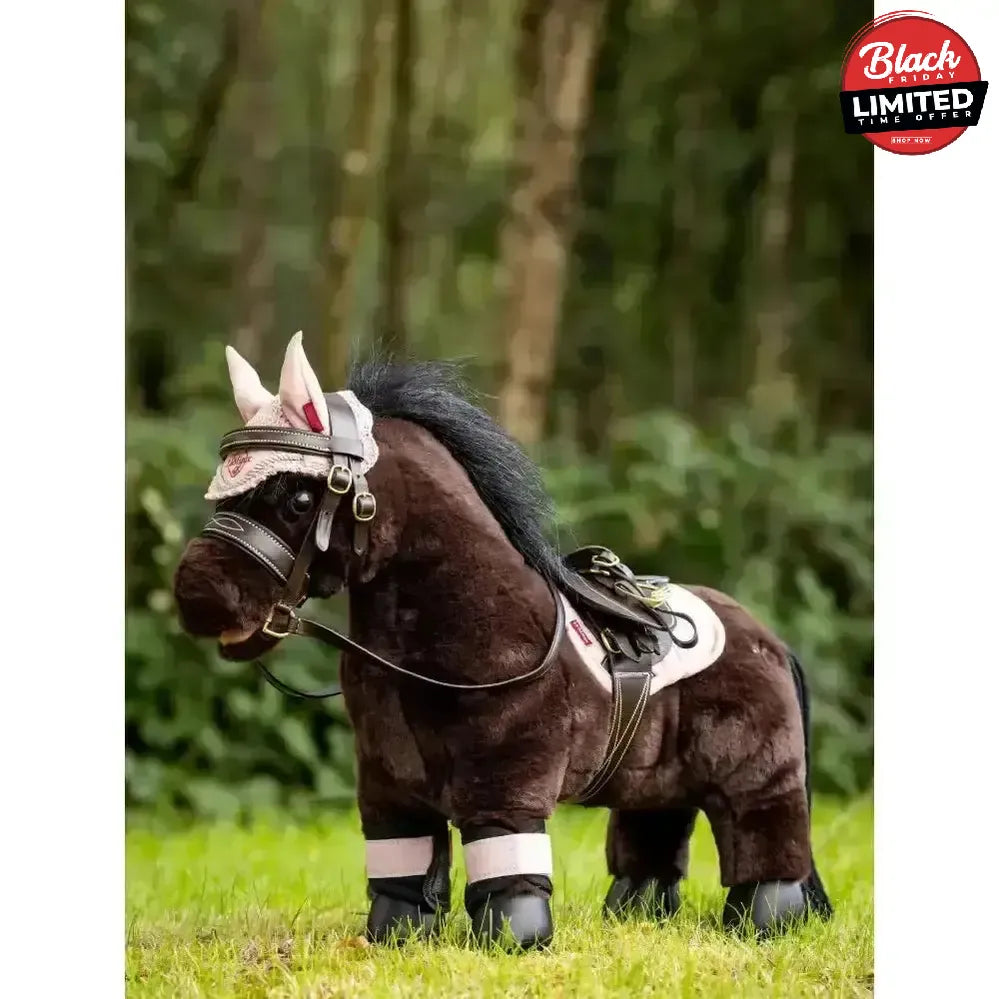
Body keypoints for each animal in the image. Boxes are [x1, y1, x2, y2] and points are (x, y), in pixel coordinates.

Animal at [174, 332, 832, 951]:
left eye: (300, 497)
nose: (194, 592)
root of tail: (770, 638)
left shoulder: (505, 780)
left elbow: (503, 861)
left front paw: (516, 940)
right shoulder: (388, 783)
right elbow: (402, 869)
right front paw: (394, 937)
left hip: (757, 777)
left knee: (766, 846)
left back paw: (763, 922)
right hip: (657, 783)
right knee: (654, 838)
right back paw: (636, 915)